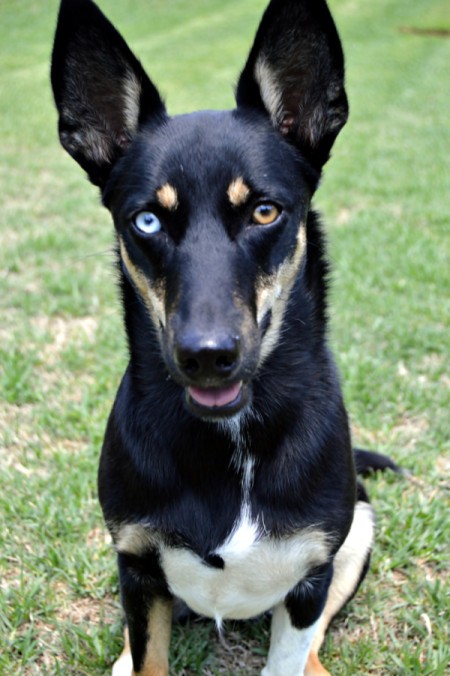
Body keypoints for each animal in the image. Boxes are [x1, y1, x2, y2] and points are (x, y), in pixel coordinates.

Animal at [51, 1, 400, 676]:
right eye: (147, 220)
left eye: (264, 211)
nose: (207, 357)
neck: (232, 439)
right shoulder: (137, 566)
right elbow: (148, 655)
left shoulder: (311, 575)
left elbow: (294, 646)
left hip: (360, 529)